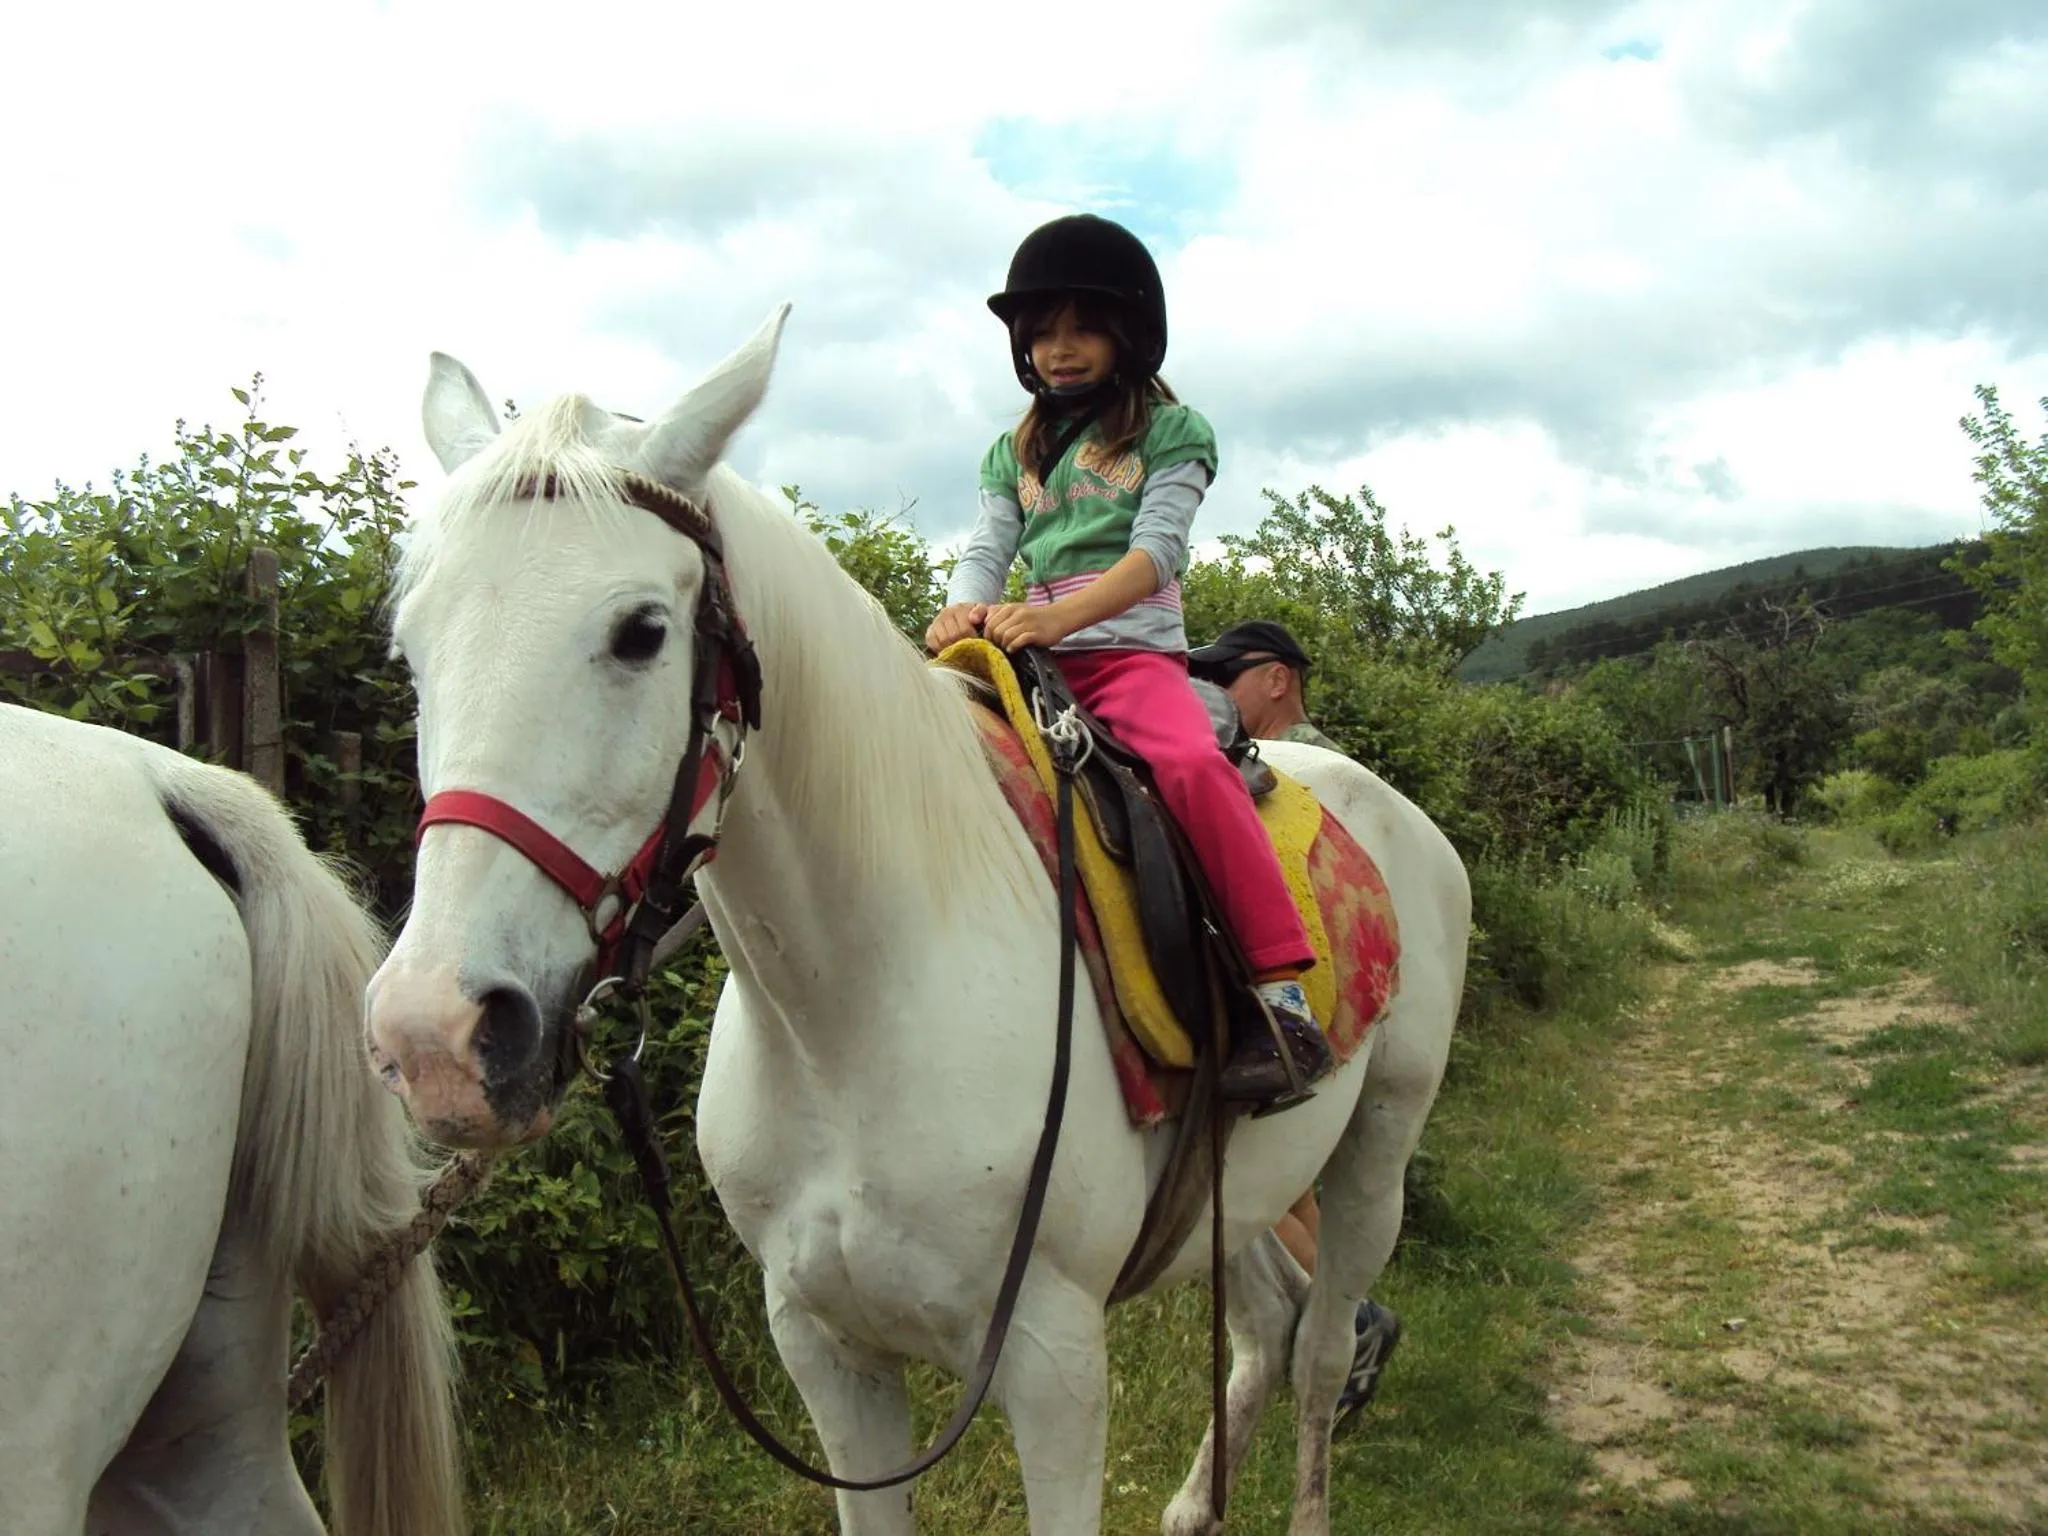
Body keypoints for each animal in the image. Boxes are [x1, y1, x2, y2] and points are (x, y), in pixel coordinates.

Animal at [364, 306, 1469, 1536]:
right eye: (410, 647)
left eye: (642, 631)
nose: (437, 1037)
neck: (855, 1015)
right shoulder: (823, 1349)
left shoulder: (1052, 1363)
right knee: (1267, 1325)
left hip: (1377, 1145)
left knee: (1322, 1350)